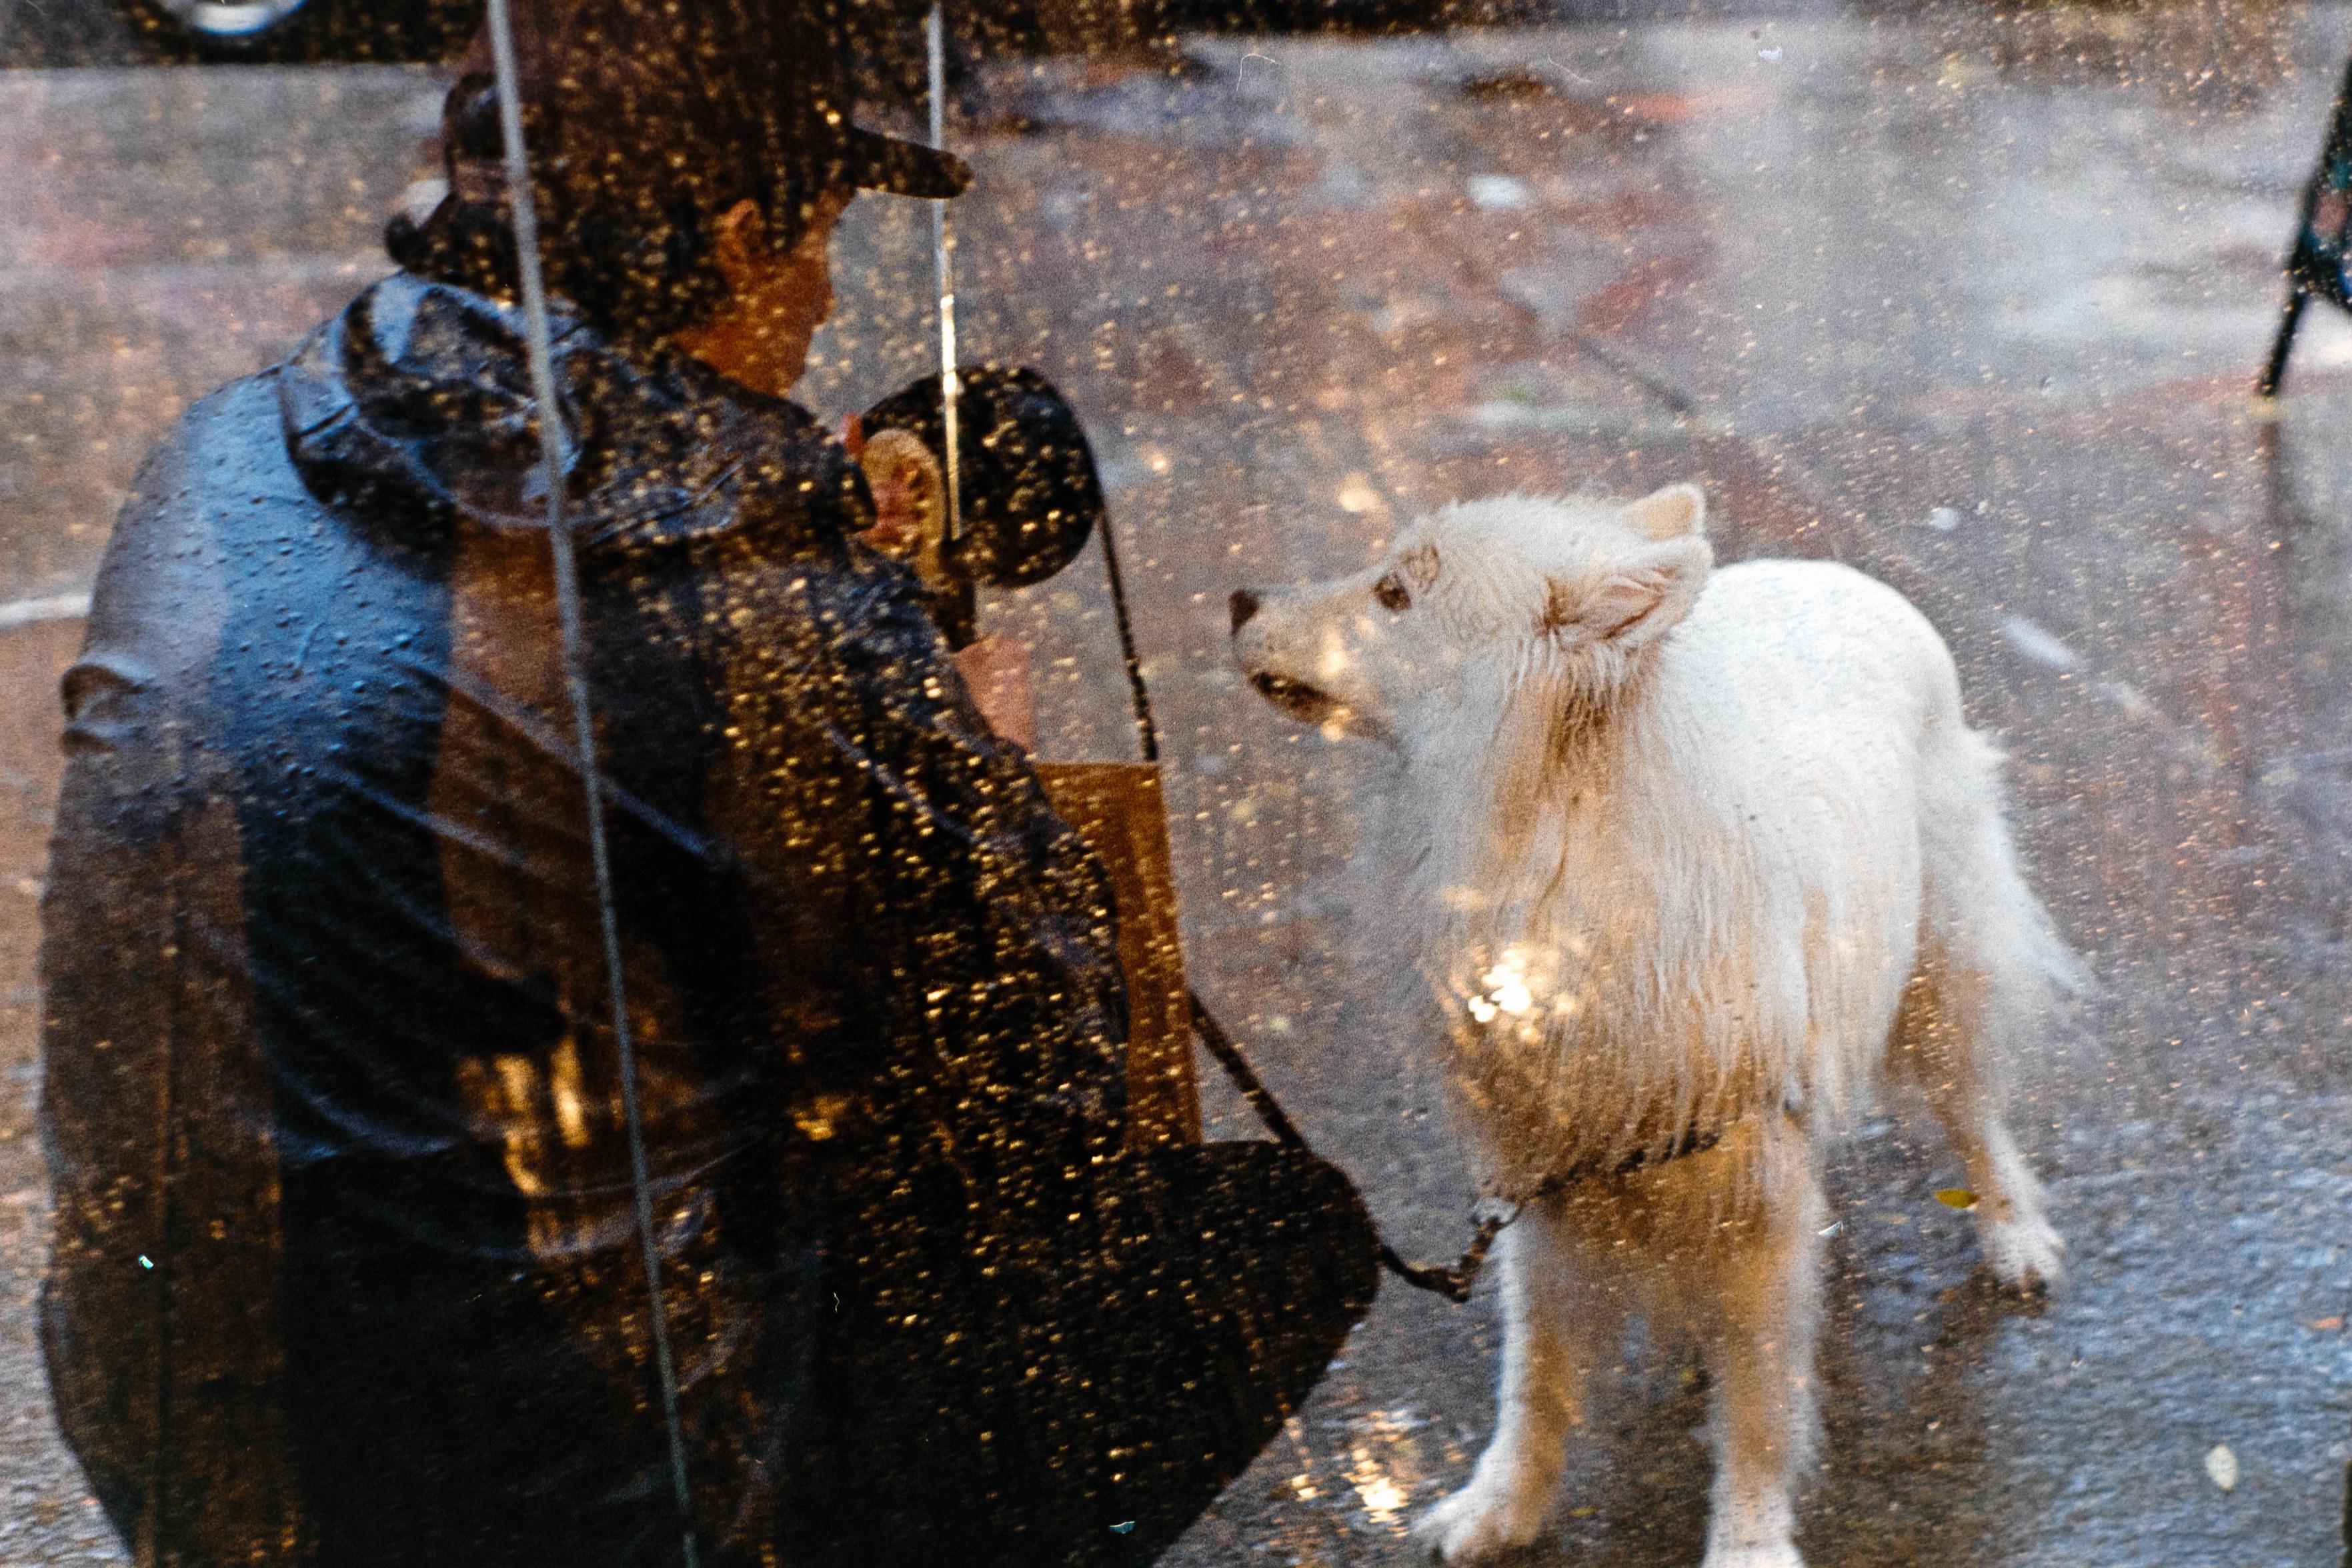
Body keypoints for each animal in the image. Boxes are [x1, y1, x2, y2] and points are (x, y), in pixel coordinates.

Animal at [1232, 486, 2079, 1568]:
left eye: (1392, 594)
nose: (1237, 598)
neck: (1555, 849)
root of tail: (1834, 570)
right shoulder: (1541, 1181)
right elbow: (1535, 1378)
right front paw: (1499, 1509)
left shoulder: (1750, 1204)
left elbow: (1756, 1408)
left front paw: (1748, 1542)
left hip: (1941, 973)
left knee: (1972, 1112)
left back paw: (2013, 1235)